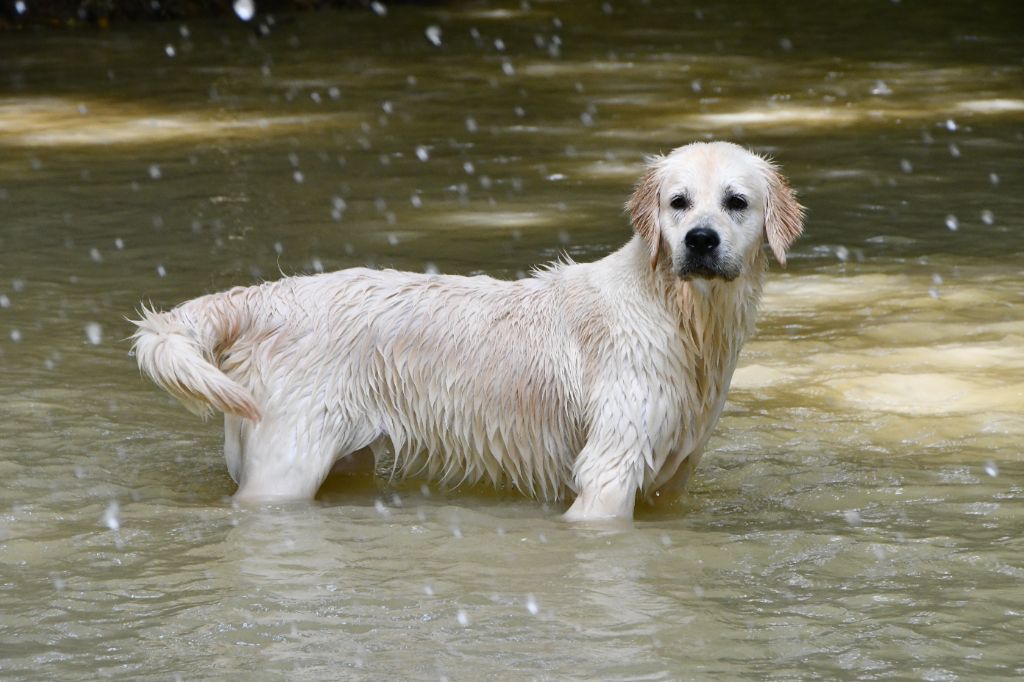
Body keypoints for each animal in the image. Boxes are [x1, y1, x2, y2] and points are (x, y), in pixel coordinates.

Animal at [130, 140, 798, 518]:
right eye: (678, 202)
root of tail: (267, 295)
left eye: (736, 201)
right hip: (286, 464)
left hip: (344, 457)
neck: (682, 318)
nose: (700, 241)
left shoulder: (675, 475)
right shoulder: (609, 470)